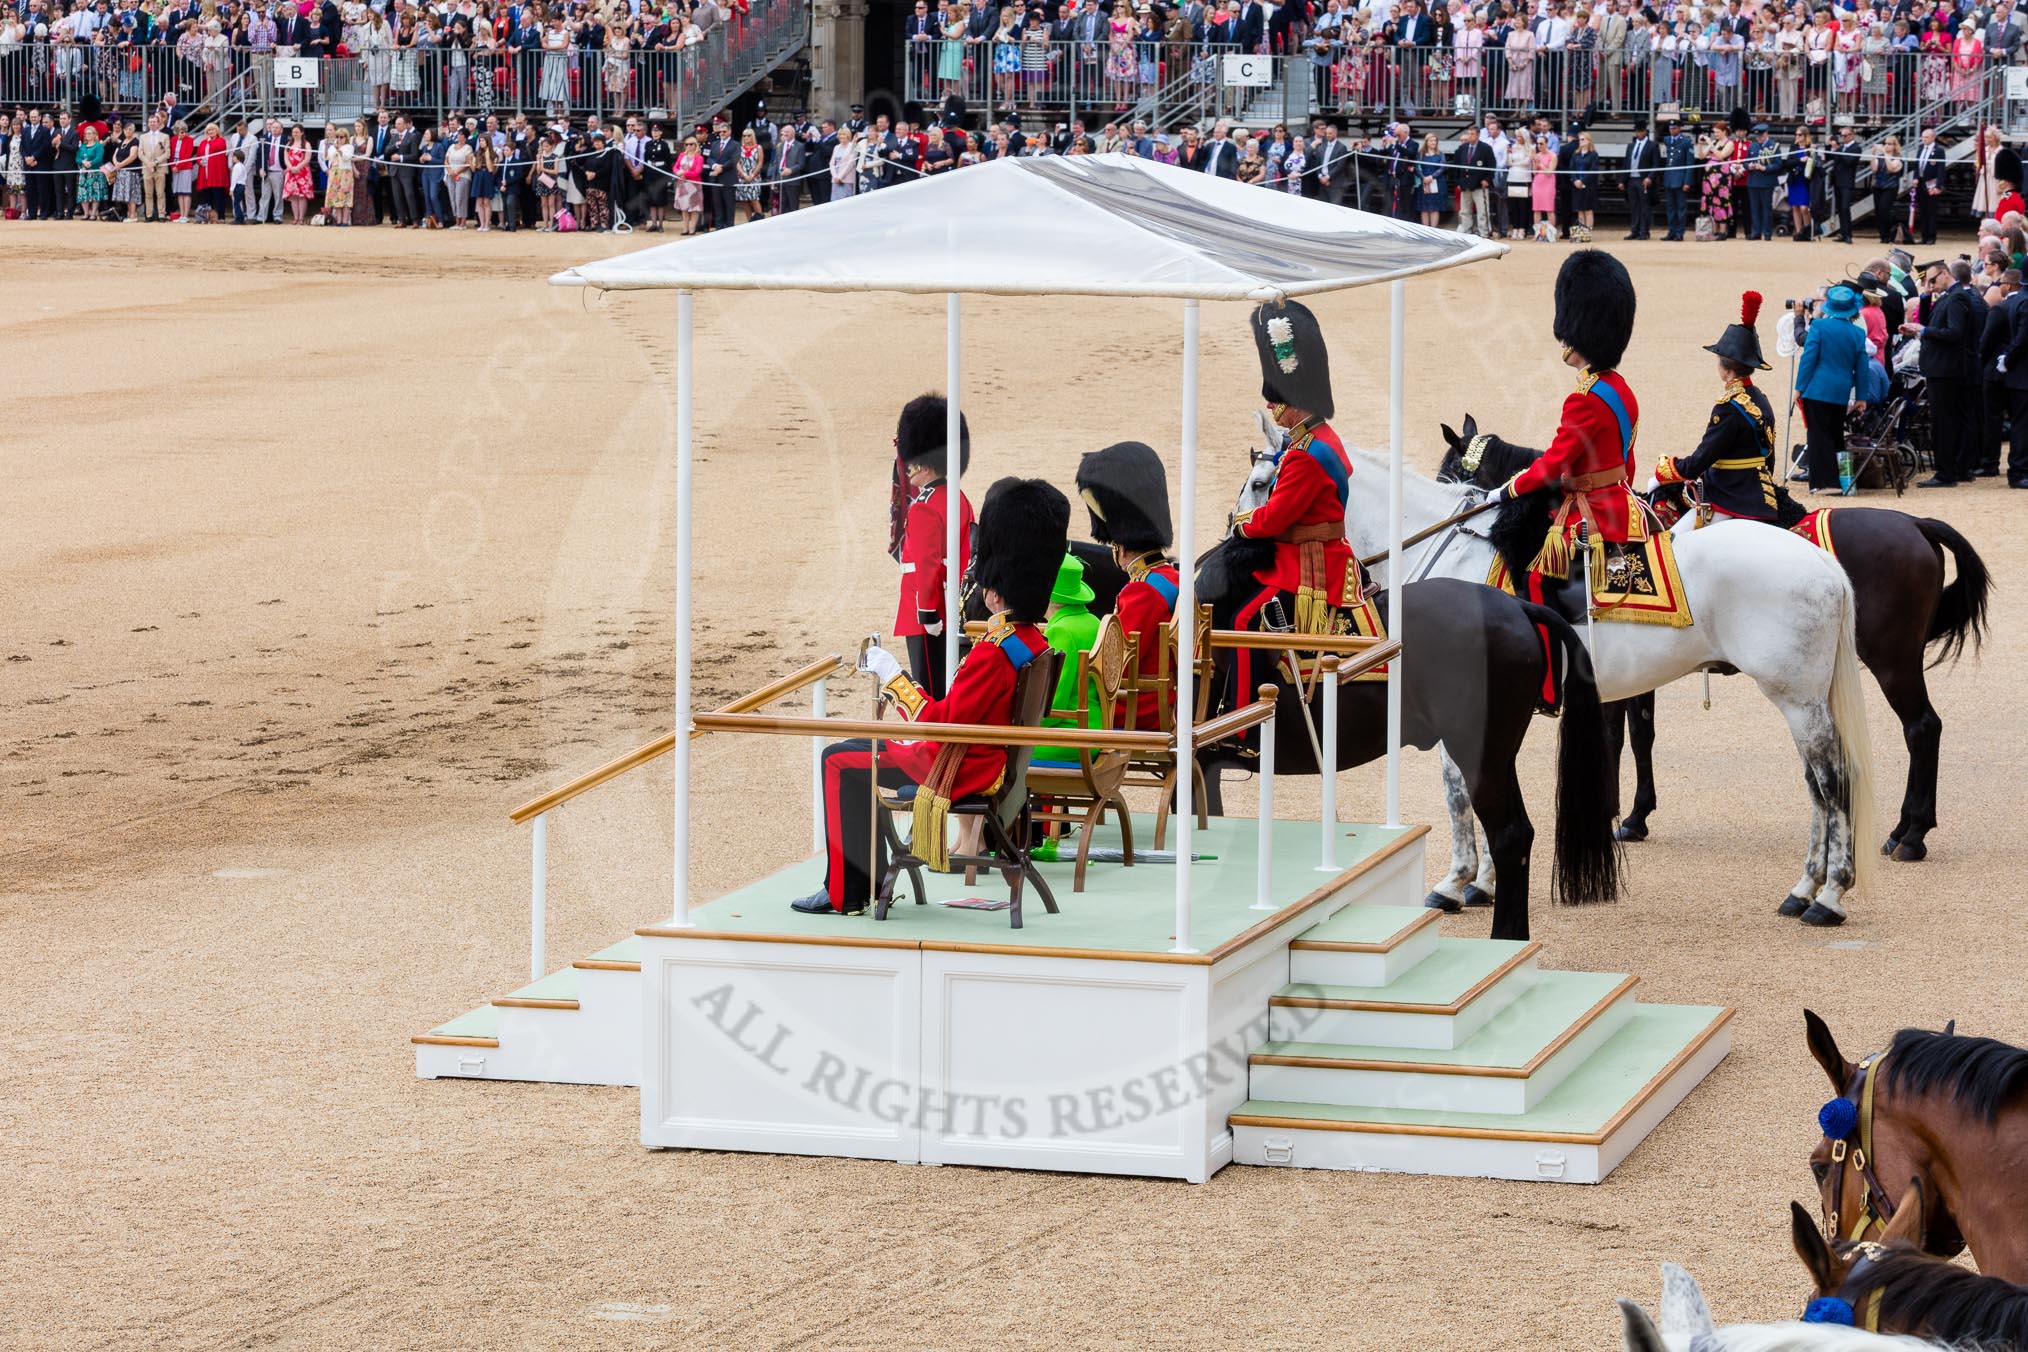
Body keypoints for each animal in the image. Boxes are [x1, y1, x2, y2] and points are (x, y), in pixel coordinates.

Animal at [1241, 439, 1873, 924]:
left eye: (1259, 483)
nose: (1235, 545)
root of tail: (1822, 562)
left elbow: (1458, 791)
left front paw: (1459, 881)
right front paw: (1484, 881)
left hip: (1797, 698)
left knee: (1831, 779)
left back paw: (1830, 894)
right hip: (1801, 698)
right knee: (1815, 785)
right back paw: (1804, 888)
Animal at [1435, 413, 1987, 863]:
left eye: (1452, 471)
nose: (1454, 519)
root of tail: (1914, 522)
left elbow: (1616, 737)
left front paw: (1614, 814)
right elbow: (1639, 735)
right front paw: (1635, 815)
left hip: (1892, 660)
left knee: (1922, 728)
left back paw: (1910, 834)